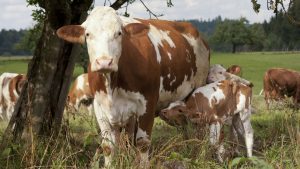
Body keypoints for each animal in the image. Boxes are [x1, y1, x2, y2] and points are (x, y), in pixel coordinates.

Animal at [56, 6, 211, 166]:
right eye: (88, 34)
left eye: (119, 33)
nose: (105, 62)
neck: (113, 84)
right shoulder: (100, 107)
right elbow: (108, 147)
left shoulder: (147, 104)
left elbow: (142, 144)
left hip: (196, 93)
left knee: (197, 129)